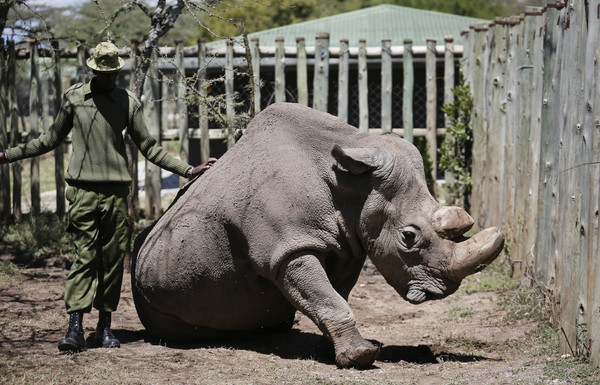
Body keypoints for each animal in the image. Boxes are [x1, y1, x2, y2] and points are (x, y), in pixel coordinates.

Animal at [130, 102, 502, 366]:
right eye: (409, 237)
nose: (444, 291)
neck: (352, 184)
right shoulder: (288, 250)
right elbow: (326, 296)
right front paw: (361, 357)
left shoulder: (349, 244)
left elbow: (332, 295)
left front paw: (342, 348)